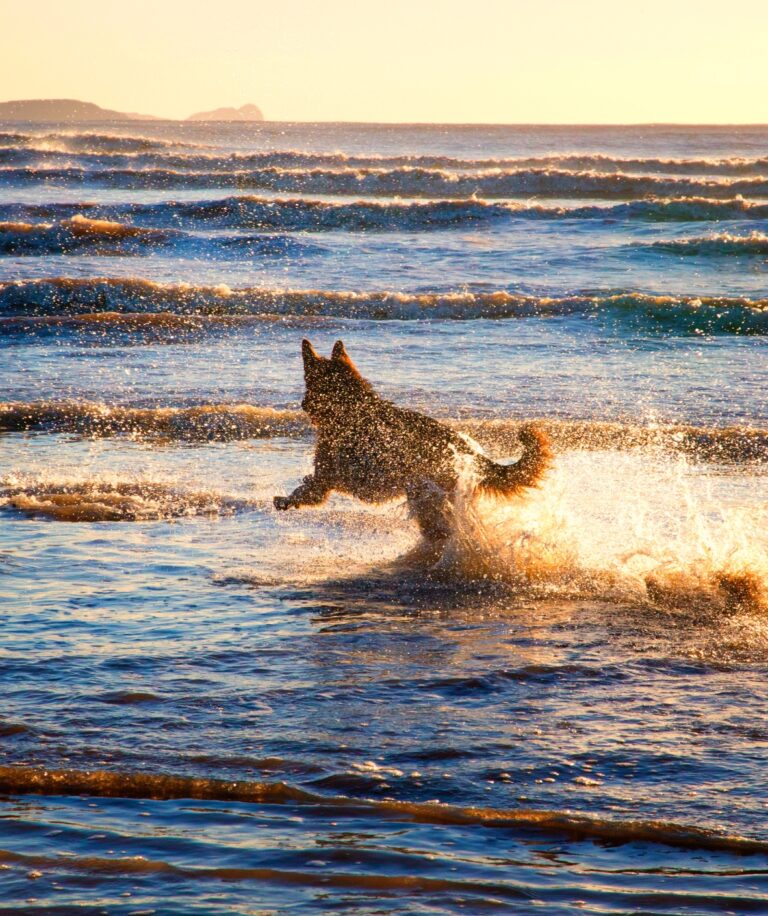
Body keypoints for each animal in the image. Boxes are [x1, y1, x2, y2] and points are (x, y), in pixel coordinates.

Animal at [272, 340, 548, 548]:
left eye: (309, 381)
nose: (302, 405)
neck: (351, 407)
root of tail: (468, 450)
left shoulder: (326, 478)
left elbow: (305, 490)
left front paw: (285, 500)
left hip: (425, 497)